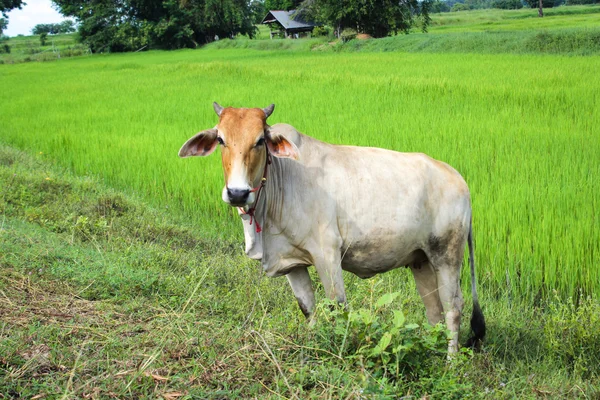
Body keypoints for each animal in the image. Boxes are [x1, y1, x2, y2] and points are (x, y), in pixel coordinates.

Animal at [179, 103, 488, 354]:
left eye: (260, 140)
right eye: (221, 139)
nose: (238, 193)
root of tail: (460, 180)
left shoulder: (327, 254)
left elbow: (337, 306)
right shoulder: (293, 263)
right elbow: (309, 308)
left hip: (447, 256)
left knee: (453, 308)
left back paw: (450, 362)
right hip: (420, 260)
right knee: (434, 311)